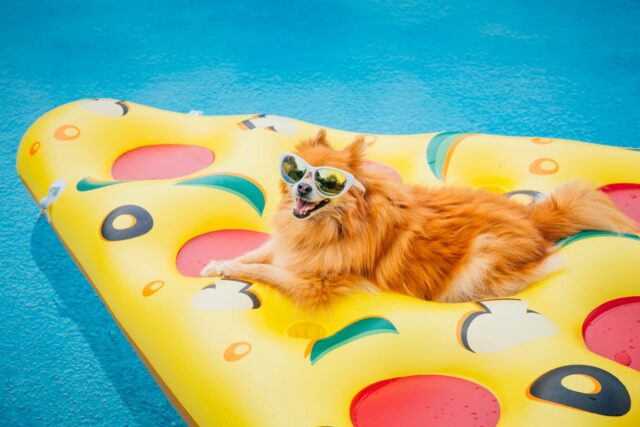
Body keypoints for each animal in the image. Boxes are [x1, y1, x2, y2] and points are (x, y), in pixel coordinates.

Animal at [199, 130, 636, 308]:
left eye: (329, 183)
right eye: (297, 172)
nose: (303, 188)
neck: (333, 227)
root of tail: (534, 219)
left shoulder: (318, 284)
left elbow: (264, 271)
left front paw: (232, 269)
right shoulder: (290, 247)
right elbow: (256, 254)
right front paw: (219, 263)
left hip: (482, 255)